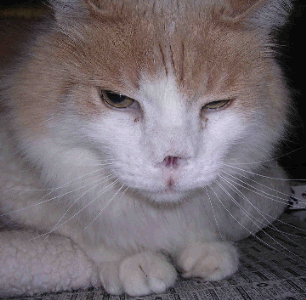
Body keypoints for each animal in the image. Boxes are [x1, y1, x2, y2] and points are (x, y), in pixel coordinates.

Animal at [0, 0, 294, 298]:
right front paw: (131, 259)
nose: (171, 159)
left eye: (216, 104)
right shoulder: (25, 187)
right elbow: (84, 222)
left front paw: (203, 246)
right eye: (116, 99)